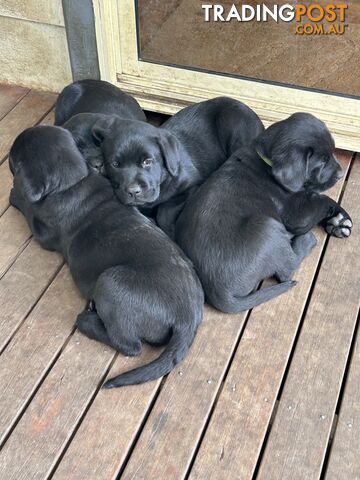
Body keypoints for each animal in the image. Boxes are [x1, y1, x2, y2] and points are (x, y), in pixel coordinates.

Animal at [8, 125, 204, 388]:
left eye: (11, 159)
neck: (74, 181)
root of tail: (188, 318)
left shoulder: (43, 233)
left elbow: (28, 208)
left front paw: (14, 194)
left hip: (110, 281)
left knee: (130, 346)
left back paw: (87, 321)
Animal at [174, 114, 352, 314]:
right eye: (322, 161)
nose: (341, 174)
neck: (264, 159)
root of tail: (218, 292)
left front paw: (339, 220)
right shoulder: (295, 215)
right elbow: (321, 199)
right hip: (267, 227)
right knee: (287, 269)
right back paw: (306, 240)